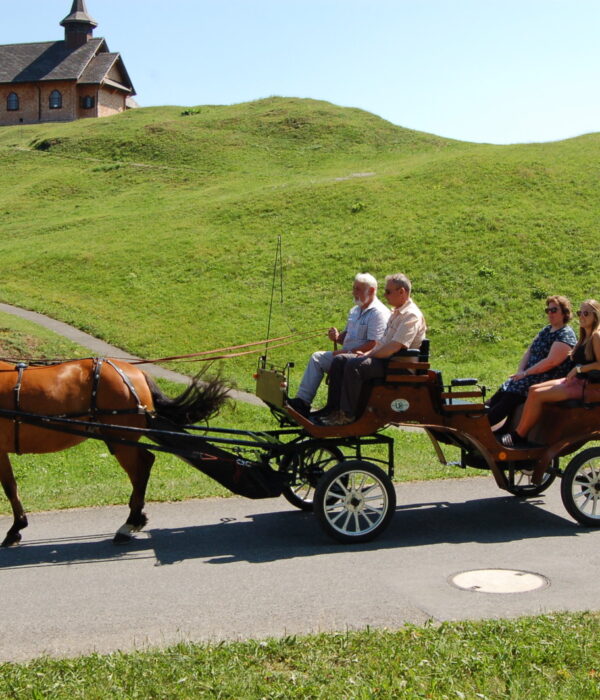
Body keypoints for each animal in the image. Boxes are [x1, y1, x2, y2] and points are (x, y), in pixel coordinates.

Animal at [0, 360, 229, 548]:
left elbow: (9, 488)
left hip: (122, 441)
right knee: (145, 463)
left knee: (141, 469)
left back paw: (130, 523)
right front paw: (17, 527)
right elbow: (11, 486)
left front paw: (15, 528)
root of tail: (137, 373)